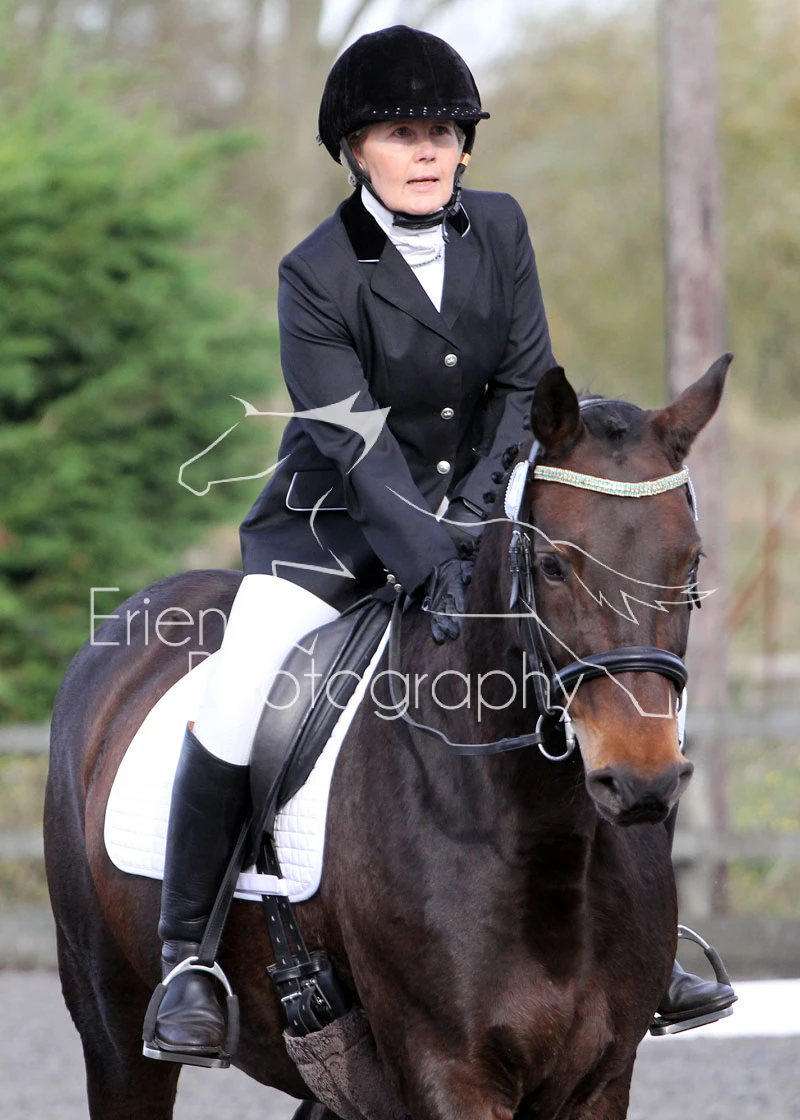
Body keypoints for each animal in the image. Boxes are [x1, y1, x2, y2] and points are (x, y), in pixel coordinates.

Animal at [44, 357, 729, 1120]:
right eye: (553, 566)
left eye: (691, 564)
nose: (642, 780)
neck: (541, 839)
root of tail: (133, 614)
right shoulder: (448, 1074)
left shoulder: (602, 1080)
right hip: (112, 1025)